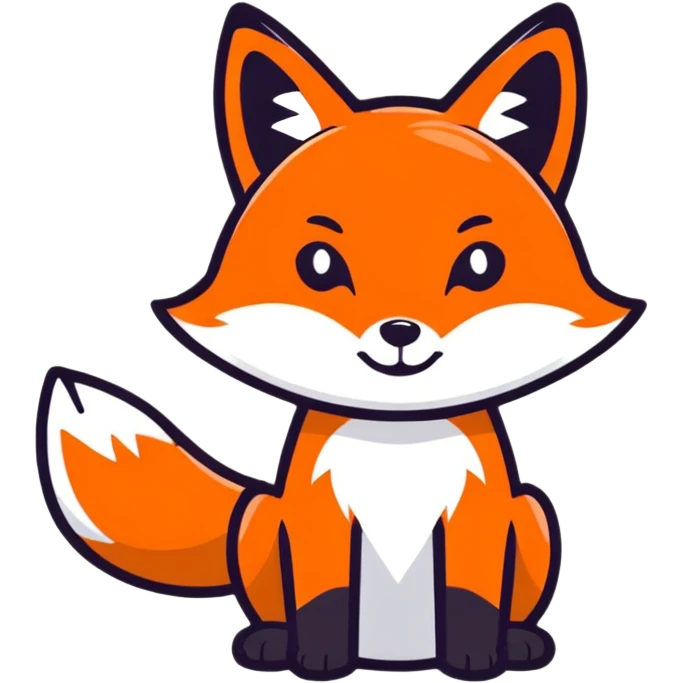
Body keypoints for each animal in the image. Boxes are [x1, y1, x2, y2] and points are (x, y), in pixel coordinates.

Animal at [34, 2, 645, 681]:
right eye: (320, 265)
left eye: (482, 265)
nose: (400, 333)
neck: (398, 441)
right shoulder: (314, 516)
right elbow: (324, 599)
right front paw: (320, 661)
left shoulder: (479, 515)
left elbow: (471, 600)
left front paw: (477, 659)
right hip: (258, 519)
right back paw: (268, 641)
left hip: (535, 513)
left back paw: (520, 642)